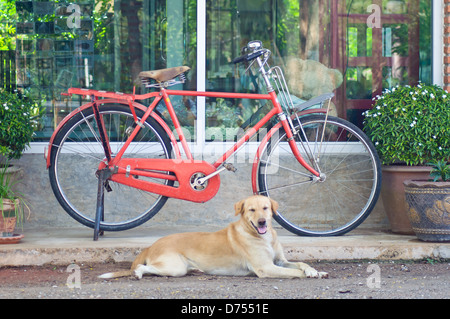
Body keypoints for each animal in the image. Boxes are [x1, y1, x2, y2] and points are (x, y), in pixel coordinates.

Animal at [100, 195, 328, 280]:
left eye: (265, 208)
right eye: (251, 210)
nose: (263, 222)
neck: (263, 237)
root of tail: (151, 245)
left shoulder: (280, 260)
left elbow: (300, 263)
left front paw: (315, 270)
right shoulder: (266, 268)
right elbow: (293, 272)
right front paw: (310, 274)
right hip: (174, 267)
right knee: (143, 267)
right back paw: (138, 273)